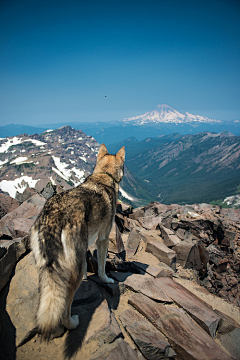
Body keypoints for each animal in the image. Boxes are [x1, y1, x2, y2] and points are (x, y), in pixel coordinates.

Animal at [17, 142, 124, 344]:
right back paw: (72, 324)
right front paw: (107, 279)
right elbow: (102, 268)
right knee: (65, 307)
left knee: (49, 302)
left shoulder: (84, 248)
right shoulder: (103, 239)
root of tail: (52, 219)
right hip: (71, 274)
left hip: (45, 269)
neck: (104, 175)